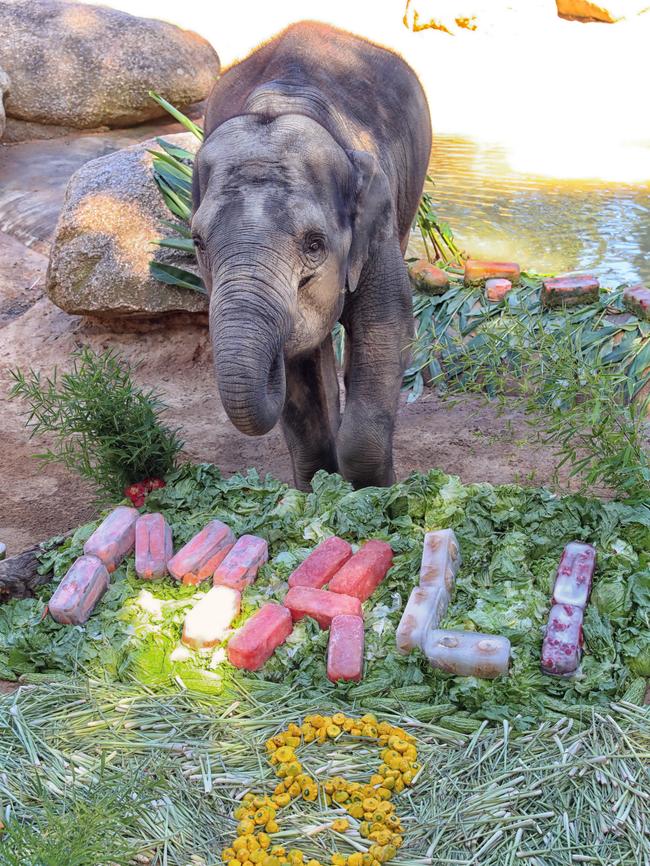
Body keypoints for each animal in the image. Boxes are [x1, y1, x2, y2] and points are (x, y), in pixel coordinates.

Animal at [191, 20, 430, 490]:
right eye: (199, 244)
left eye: (315, 245)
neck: (283, 105)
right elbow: (303, 375)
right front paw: (320, 487)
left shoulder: (377, 227)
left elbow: (386, 331)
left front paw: (379, 491)